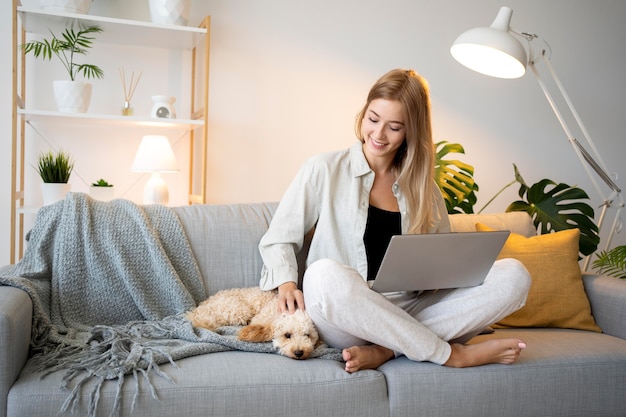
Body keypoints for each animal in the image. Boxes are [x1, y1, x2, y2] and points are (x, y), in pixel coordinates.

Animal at [182, 286, 316, 358]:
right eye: (287, 335)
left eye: (307, 335)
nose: (299, 352)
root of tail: (198, 311)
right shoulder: (259, 319)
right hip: (240, 310)